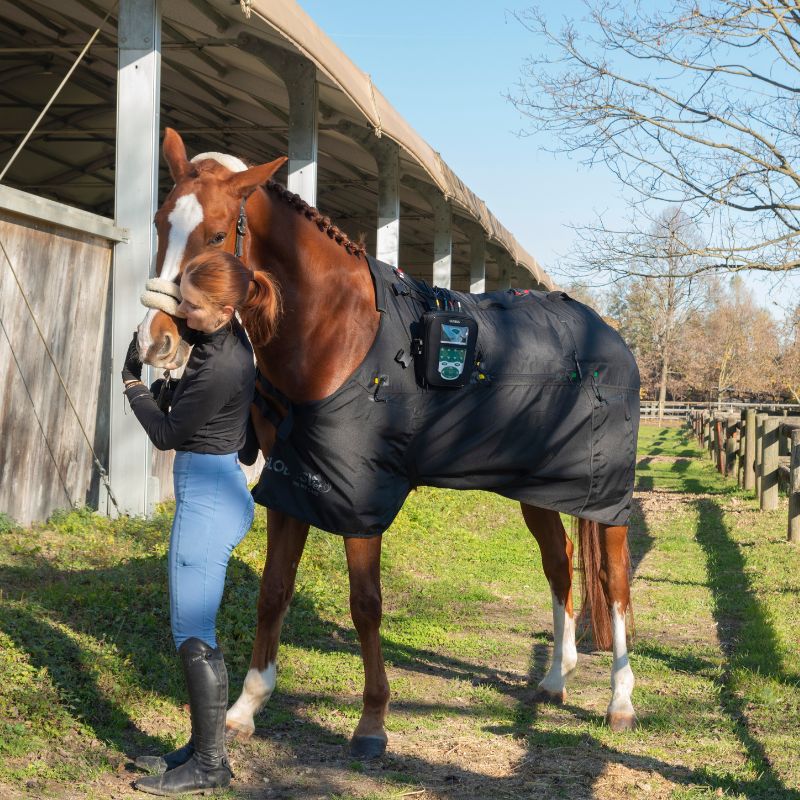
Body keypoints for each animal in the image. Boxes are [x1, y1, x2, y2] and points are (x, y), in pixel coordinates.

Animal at [136, 127, 639, 758]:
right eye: (160, 221)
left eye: (217, 234)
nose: (156, 343)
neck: (337, 332)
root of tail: (609, 336)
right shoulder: (293, 484)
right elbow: (274, 591)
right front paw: (245, 708)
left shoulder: (360, 496)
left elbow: (366, 604)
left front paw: (372, 721)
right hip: (537, 490)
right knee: (560, 565)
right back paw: (554, 678)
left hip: (605, 499)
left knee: (615, 584)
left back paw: (620, 702)